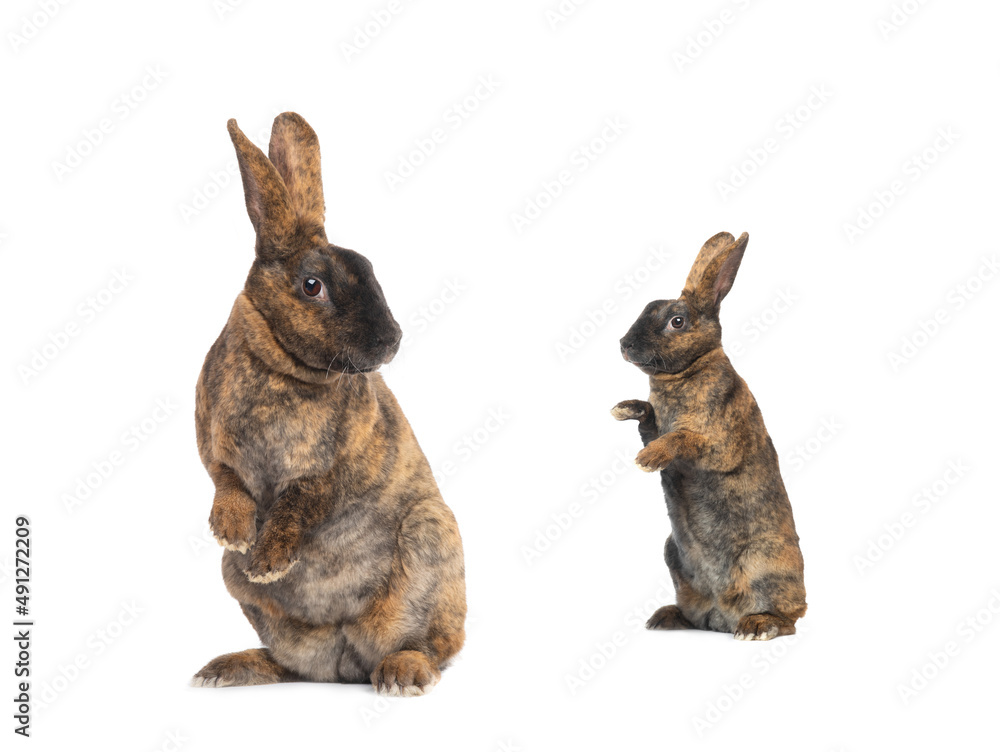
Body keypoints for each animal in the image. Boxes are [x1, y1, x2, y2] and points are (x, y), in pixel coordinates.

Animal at [190, 112, 466, 695]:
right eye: (312, 285)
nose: (391, 340)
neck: (283, 366)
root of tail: (344, 666)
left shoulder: (333, 469)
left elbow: (299, 502)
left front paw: (268, 560)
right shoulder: (212, 445)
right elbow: (226, 479)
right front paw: (232, 531)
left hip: (431, 539)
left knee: (433, 646)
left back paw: (402, 674)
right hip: (251, 601)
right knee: (292, 664)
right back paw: (226, 669)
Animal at [611, 231, 806, 641]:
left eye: (677, 321)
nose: (624, 344)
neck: (690, 369)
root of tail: (722, 614)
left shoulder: (718, 442)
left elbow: (682, 439)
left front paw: (646, 460)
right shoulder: (655, 425)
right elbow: (647, 418)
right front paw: (622, 408)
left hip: (766, 564)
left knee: (791, 618)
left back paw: (756, 626)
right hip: (673, 554)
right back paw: (664, 617)